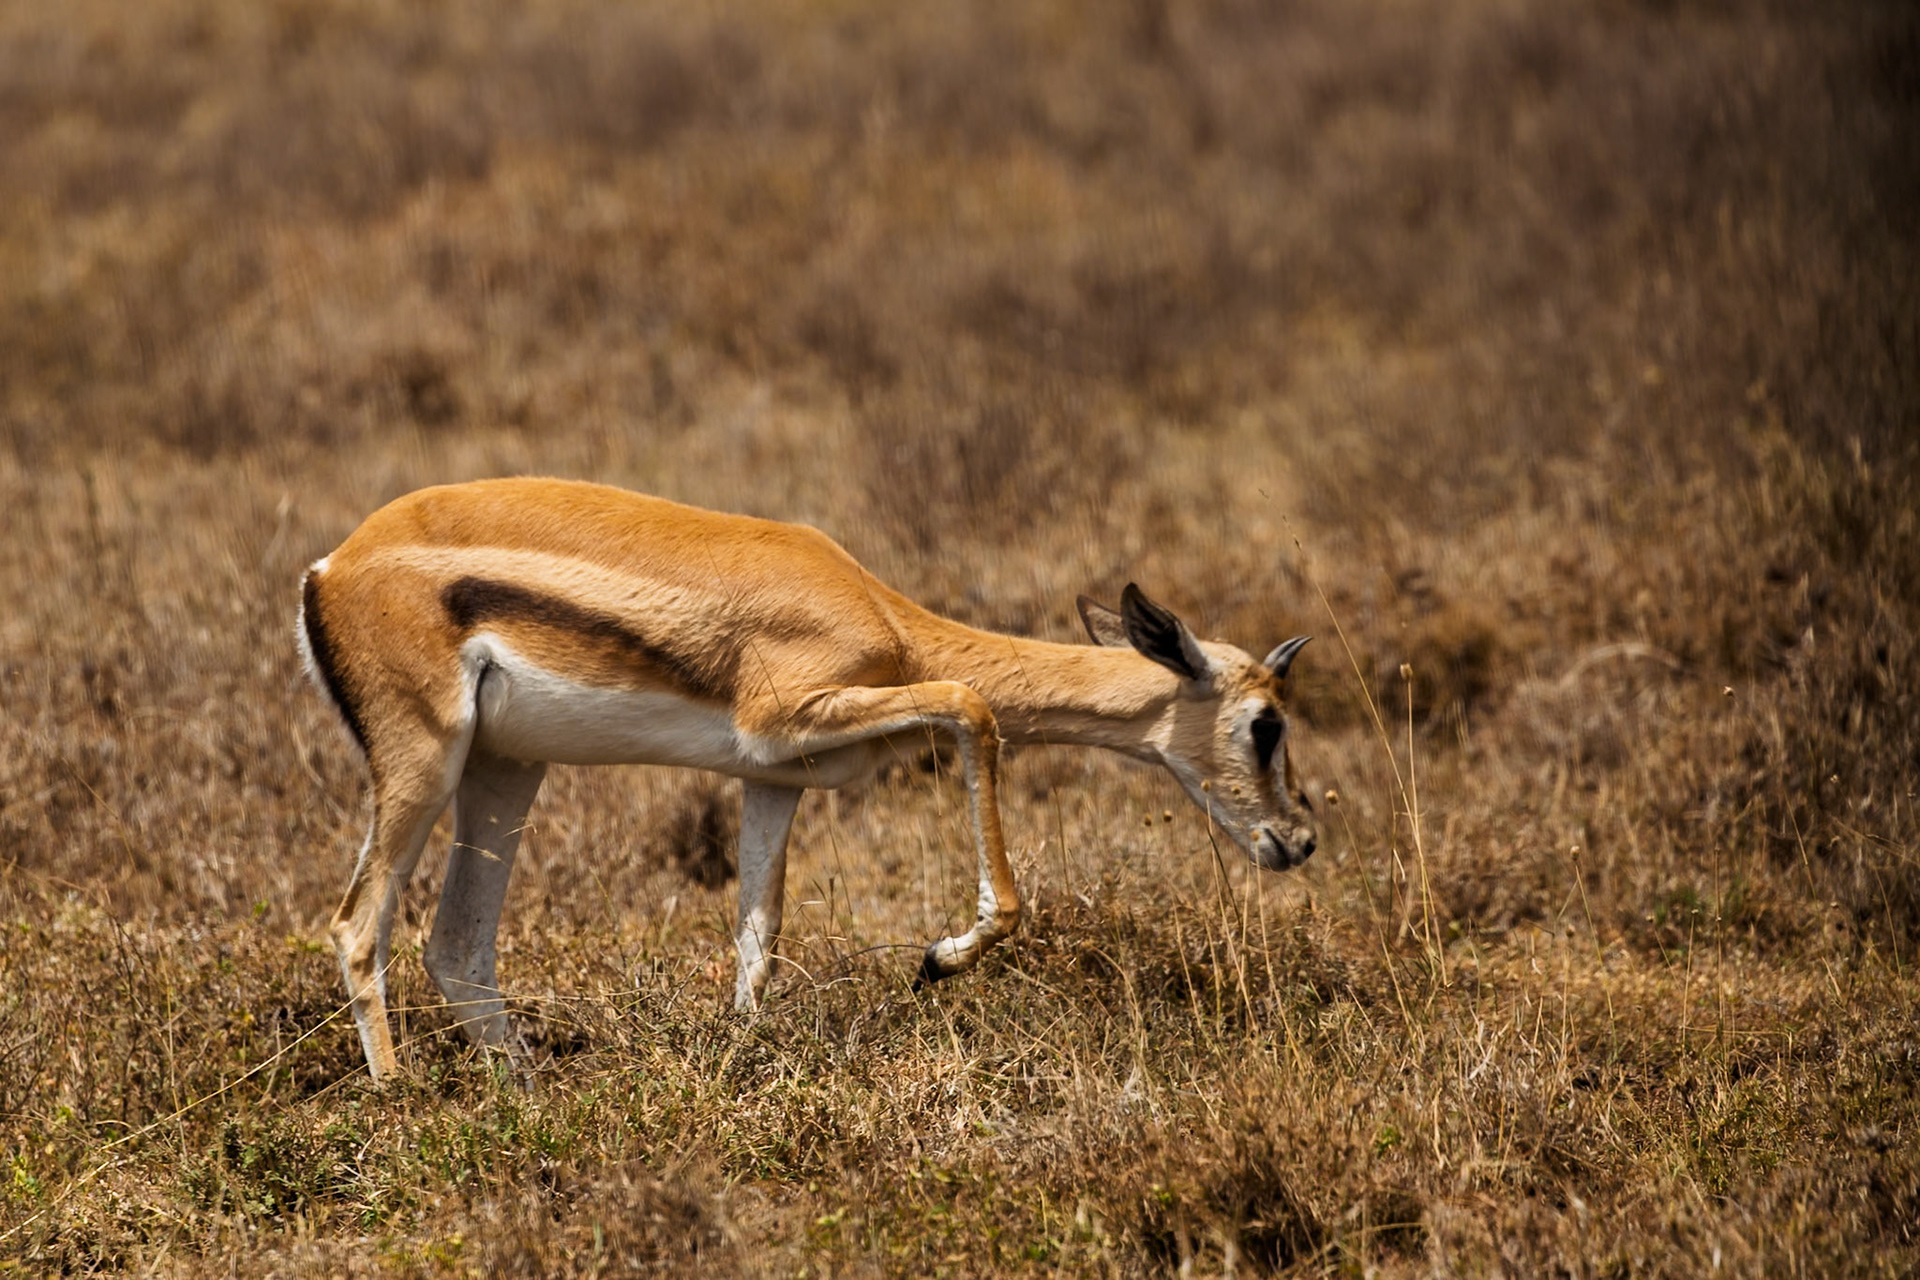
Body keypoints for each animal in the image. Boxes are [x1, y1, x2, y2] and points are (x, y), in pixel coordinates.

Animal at [298, 478, 1315, 1079]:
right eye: (1265, 724)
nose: (1299, 837)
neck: (877, 612)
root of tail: (330, 565)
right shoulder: (796, 714)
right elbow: (973, 707)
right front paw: (939, 957)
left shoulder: (773, 778)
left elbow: (759, 935)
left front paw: (742, 1066)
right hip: (428, 759)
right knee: (358, 923)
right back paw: (403, 1105)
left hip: (507, 769)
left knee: (456, 946)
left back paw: (528, 1102)